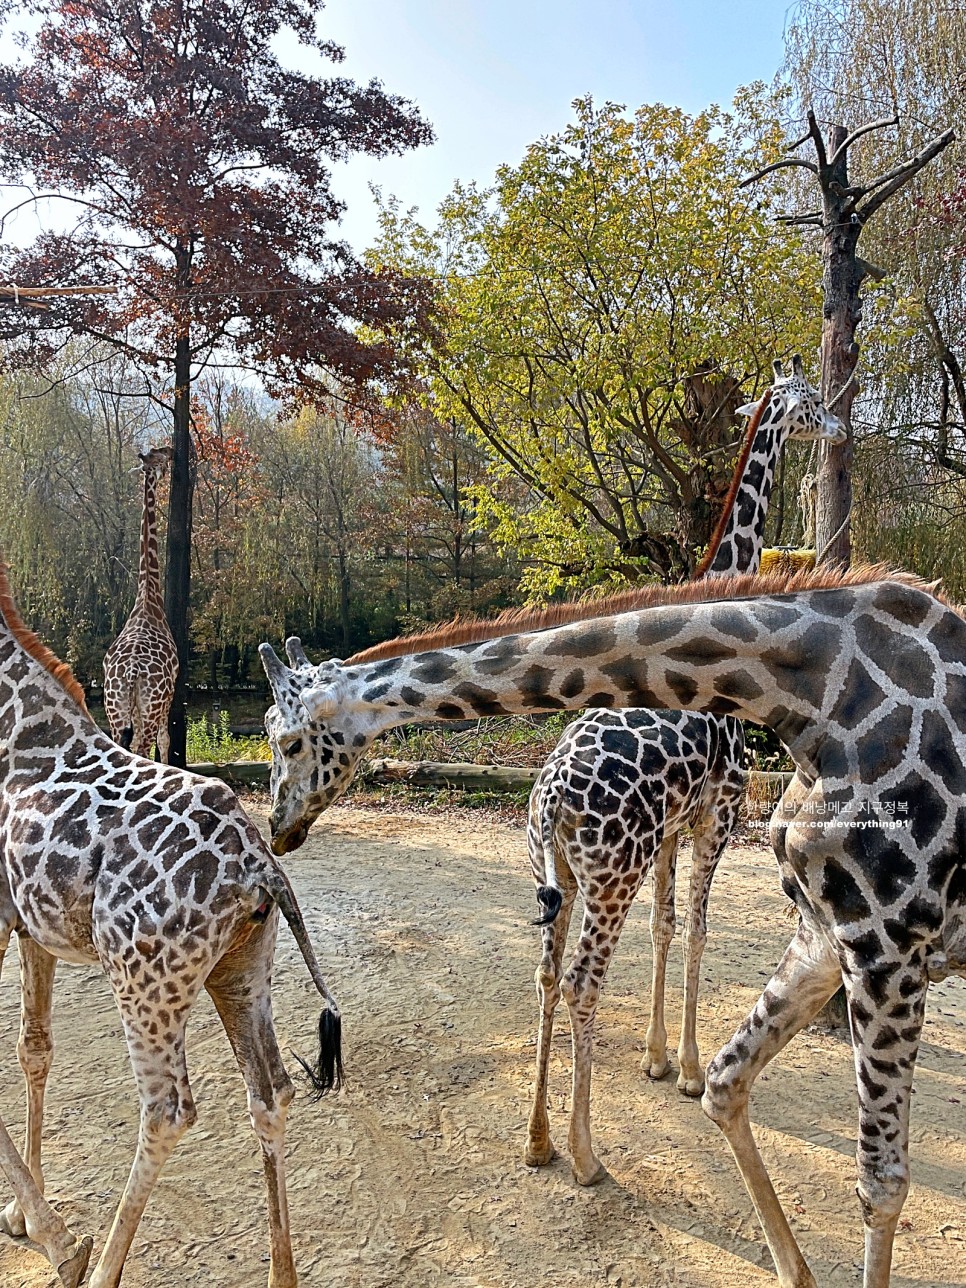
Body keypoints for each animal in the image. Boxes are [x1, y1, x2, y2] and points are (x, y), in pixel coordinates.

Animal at [0, 558, 345, 1282]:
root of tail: (262, 871)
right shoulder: (31, 929)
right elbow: (33, 1050)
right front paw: (23, 1213)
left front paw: (54, 1237)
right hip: (242, 970)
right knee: (270, 1091)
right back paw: (281, 1273)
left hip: (145, 981)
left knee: (168, 1111)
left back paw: (100, 1267)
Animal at [522, 358, 844, 1179]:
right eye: (810, 402)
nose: (839, 424)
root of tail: (551, 799)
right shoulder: (719, 812)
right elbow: (697, 929)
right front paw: (693, 1069)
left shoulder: (673, 825)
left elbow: (667, 927)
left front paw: (658, 1057)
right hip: (612, 872)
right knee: (582, 981)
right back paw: (585, 1153)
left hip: (558, 874)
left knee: (547, 973)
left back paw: (537, 1139)